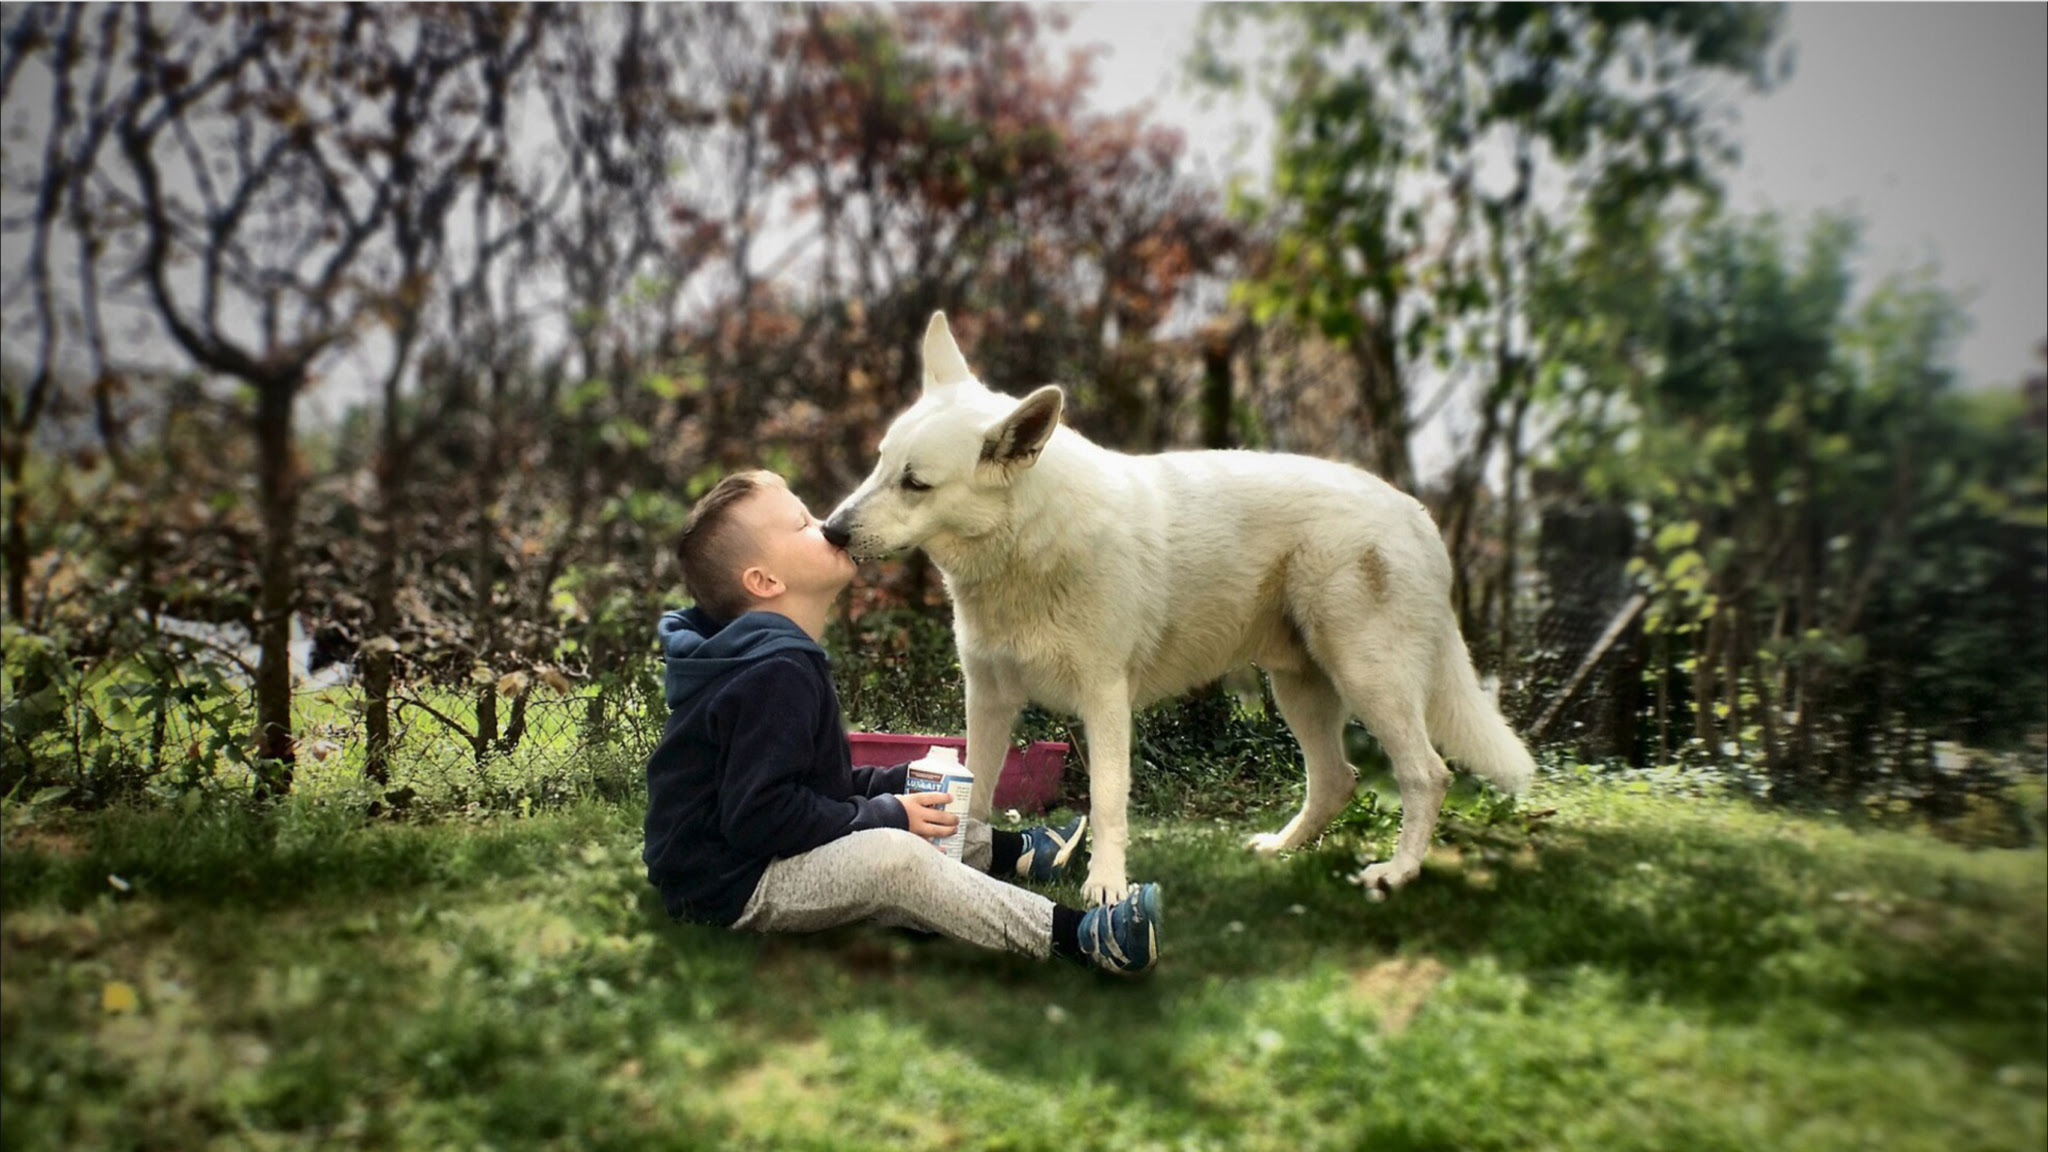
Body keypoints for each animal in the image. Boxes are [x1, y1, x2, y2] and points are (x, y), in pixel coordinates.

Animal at [823, 313, 1531, 906]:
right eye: (881, 464)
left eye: (916, 483)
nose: (831, 530)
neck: (1028, 545)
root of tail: (1415, 513)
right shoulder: (989, 696)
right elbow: (977, 790)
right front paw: (959, 860)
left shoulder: (1105, 701)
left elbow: (1109, 802)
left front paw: (1106, 888)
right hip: (1300, 689)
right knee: (1339, 780)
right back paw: (1280, 850)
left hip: (1368, 681)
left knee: (1426, 775)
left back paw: (1396, 873)